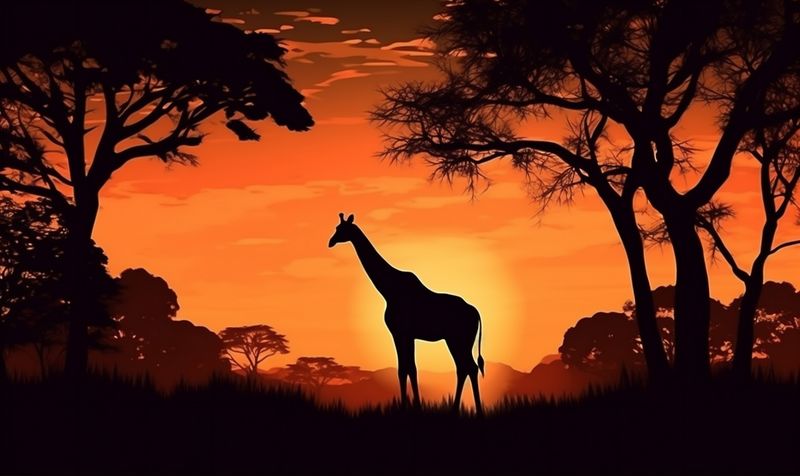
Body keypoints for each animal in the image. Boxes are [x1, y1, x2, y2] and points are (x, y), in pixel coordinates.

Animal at [328, 213, 484, 414]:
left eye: (342, 229)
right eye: (336, 228)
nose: (330, 242)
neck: (389, 290)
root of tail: (476, 312)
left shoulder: (400, 333)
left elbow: (405, 369)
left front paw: (408, 407)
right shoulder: (405, 335)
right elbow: (408, 368)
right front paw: (412, 405)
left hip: (459, 339)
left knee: (469, 367)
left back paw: (474, 410)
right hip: (456, 340)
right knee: (465, 367)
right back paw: (458, 409)